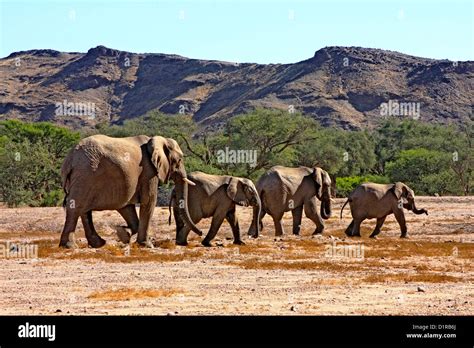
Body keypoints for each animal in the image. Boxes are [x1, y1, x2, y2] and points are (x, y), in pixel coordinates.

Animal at [58, 135, 201, 249]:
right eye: (180, 159)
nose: (201, 233)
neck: (155, 140)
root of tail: (70, 159)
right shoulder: (148, 171)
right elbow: (148, 201)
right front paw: (146, 245)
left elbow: (127, 207)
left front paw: (123, 234)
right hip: (86, 175)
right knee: (76, 208)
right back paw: (70, 246)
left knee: (84, 210)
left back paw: (98, 244)